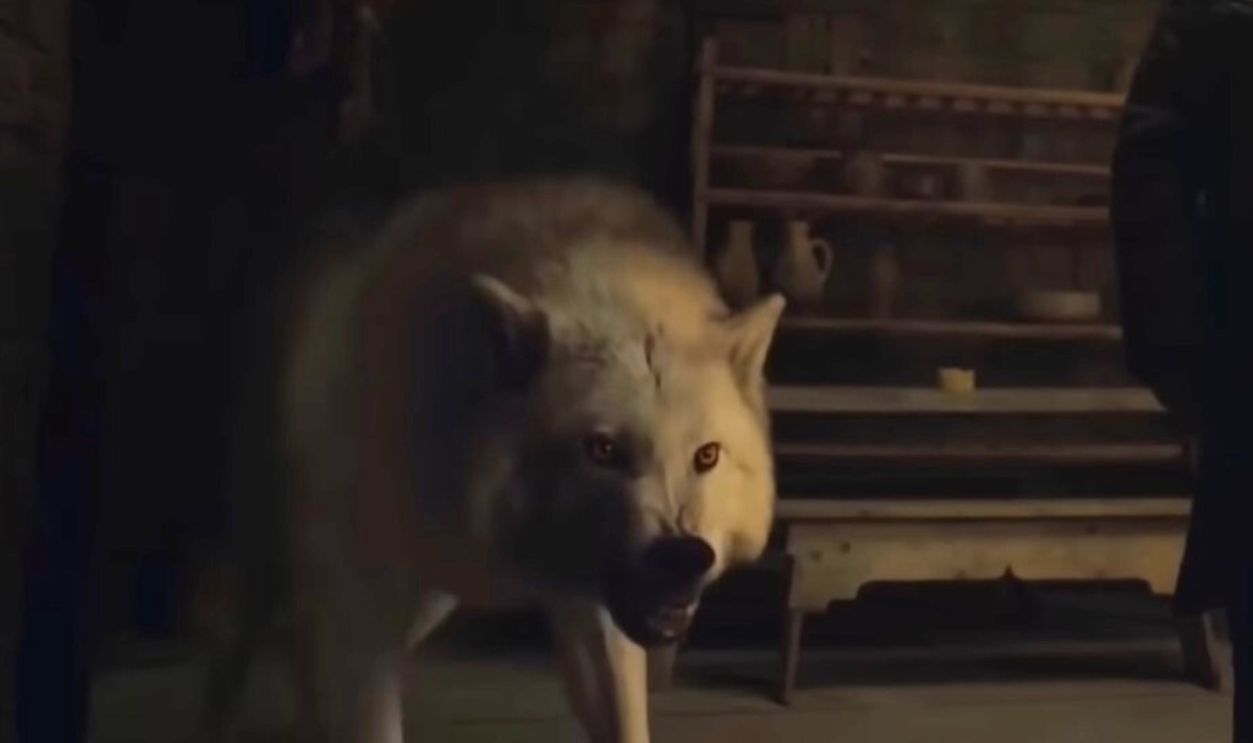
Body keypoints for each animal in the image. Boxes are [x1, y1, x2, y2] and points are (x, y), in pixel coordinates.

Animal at [203, 176, 785, 743]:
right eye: (603, 449)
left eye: (706, 456)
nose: (684, 556)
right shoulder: (362, 610)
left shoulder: (589, 606)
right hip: (267, 558)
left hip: (420, 604)